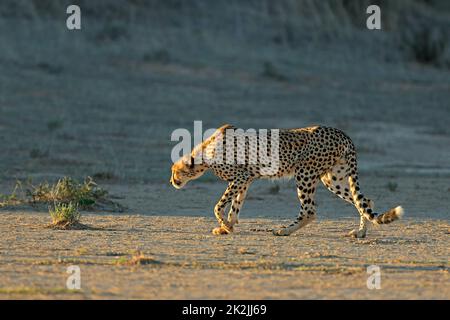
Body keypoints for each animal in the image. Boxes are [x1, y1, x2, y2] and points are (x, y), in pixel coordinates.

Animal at [171, 124, 404, 236]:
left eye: (175, 172)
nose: (172, 182)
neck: (204, 154)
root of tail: (342, 134)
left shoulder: (241, 177)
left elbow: (218, 206)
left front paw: (225, 225)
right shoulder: (246, 179)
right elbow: (235, 206)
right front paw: (228, 226)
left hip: (305, 173)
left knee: (309, 210)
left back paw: (284, 230)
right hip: (333, 179)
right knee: (364, 201)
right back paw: (361, 232)